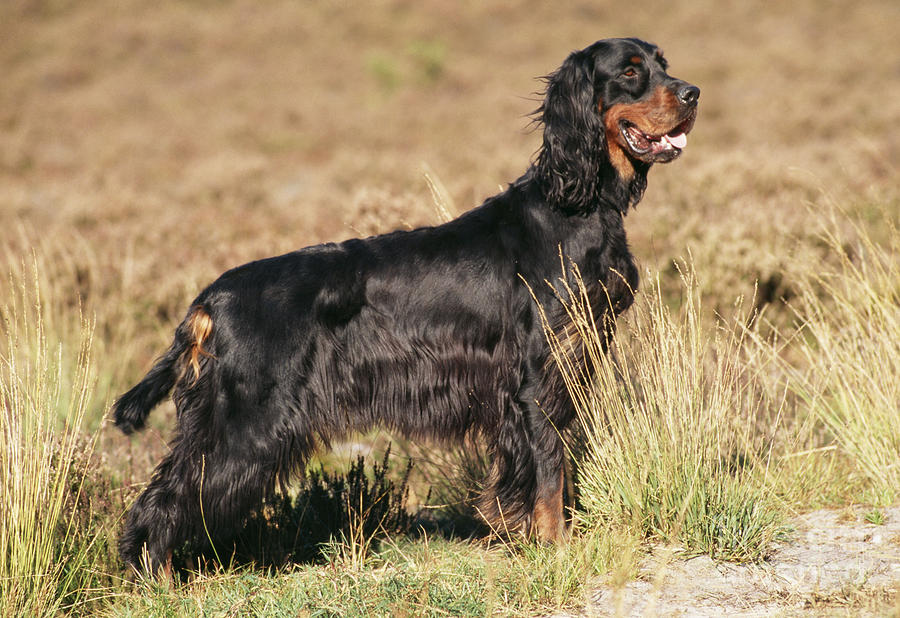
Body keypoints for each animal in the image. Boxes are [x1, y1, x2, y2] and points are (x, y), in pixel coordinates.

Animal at [112, 38, 700, 572]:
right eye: (630, 72)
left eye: (664, 64)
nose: (693, 93)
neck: (576, 205)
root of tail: (208, 300)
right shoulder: (539, 379)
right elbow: (551, 474)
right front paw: (557, 550)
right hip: (248, 422)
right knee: (165, 504)